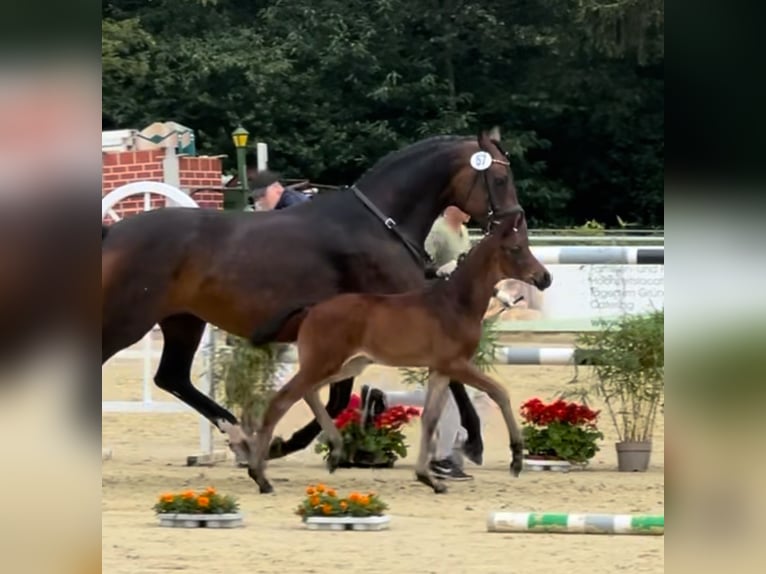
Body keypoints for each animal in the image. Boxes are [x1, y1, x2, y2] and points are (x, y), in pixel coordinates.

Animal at [100, 129, 536, 468]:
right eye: (500, 177)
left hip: (183, 320)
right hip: (129, 320)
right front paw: (474, 440)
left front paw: (285, 444)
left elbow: (338, 396)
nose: (516, 223)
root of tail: (113, 232)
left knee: (172, 377)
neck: (380, 226)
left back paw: (240, 438)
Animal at [240, 212, 552, 496]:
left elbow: (430, 418)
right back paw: (260, 476)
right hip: (324, 363)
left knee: (310, 394)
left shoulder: (440, 369)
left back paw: (336, 451)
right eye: (516, 248)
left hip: (348, 365)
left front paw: (429, 478)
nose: (545, 278)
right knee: (281, 401)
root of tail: (312, 308)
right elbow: (499, 393)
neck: (455, 303)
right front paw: (516, 459)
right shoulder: (457, 364)